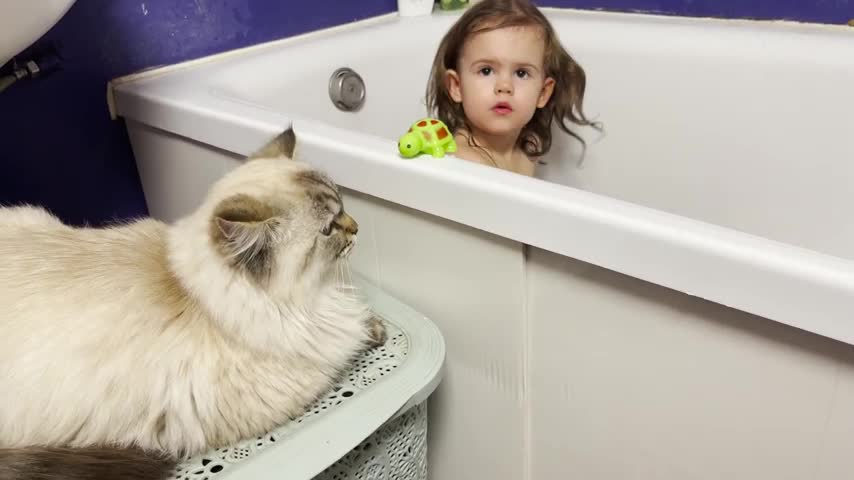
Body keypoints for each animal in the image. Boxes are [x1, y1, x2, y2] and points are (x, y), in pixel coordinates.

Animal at [0, 129, 384, 478]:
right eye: (328, 229)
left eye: (343, 206)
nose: (357, 227)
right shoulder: (305, 376)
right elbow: (344, 346)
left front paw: (375, 327)